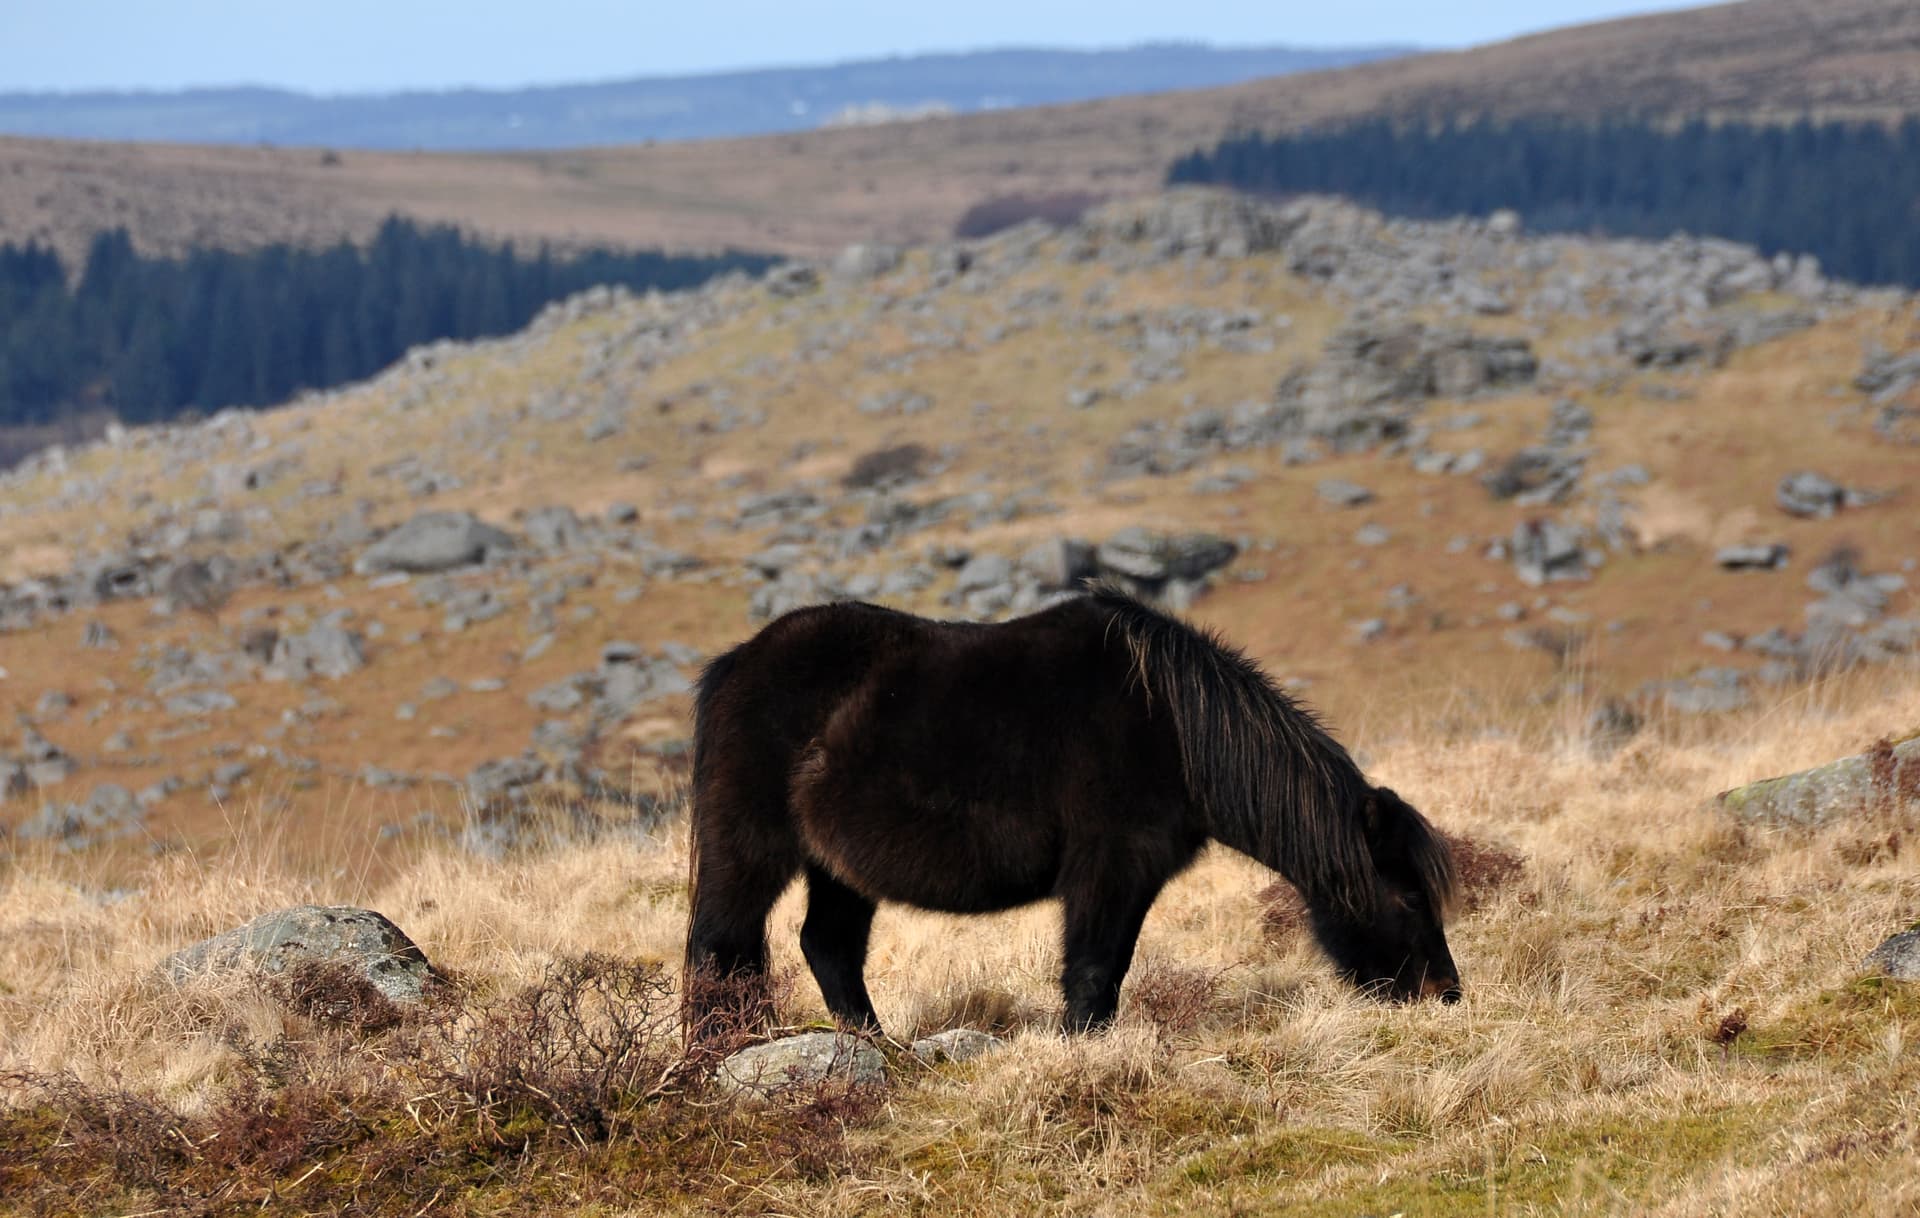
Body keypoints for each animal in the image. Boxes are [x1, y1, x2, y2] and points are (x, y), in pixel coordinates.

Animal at [682, 588, 1460, 1038]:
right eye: (1405, 896)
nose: (1447, 994)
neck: (1173, 727)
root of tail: (736, 663)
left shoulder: (1131, 875)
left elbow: (1108, 970)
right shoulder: (1110, 869)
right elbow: (1093, 971)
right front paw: (1083, 1052)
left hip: (838, 868)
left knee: (828, 947)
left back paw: (881, 1049)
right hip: (751, 850)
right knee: (720, 948)